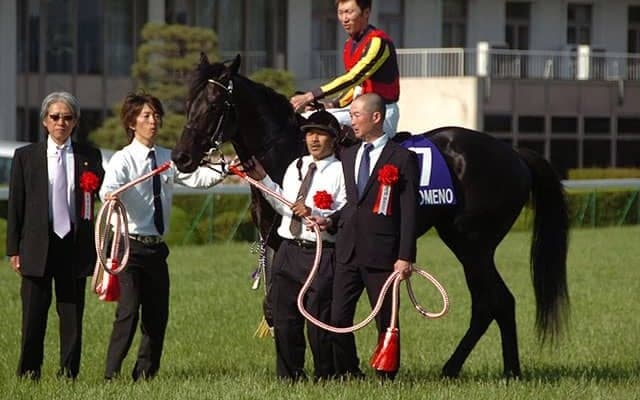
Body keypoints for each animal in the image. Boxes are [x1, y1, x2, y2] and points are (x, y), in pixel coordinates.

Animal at [171, 53, 569, 379]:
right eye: (187, 101)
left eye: (215, 103)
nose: (181, 157)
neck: (291, 149)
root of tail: (513, 153)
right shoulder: (275, 240)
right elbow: (275, 306)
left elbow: (317, 303)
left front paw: (336, 367)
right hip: (467, 244)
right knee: (488, 303)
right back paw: (456, 368)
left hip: (473, 244)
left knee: (499, 300)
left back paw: (508, 371)